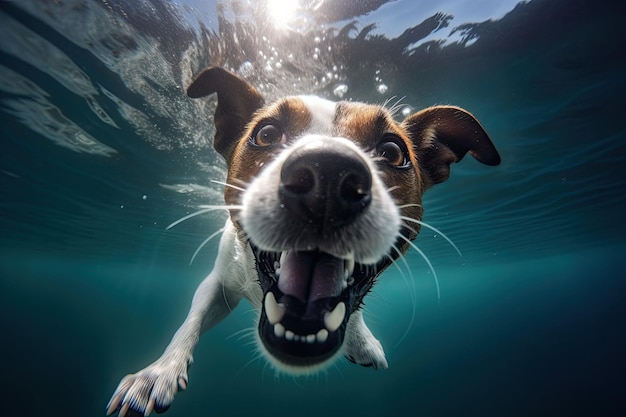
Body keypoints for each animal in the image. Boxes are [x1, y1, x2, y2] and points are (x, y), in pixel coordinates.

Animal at [106, 66, 498, 414]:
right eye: (266, 134)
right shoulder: (220, 280)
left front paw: (362, 339)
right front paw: (158, 372)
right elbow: (192, 321)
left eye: (392, 151)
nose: (328, 172)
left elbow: (352, 309)